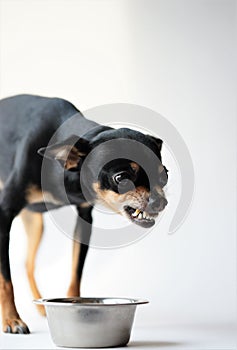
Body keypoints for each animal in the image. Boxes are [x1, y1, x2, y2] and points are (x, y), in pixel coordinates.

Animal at [0, 94, 168, 334]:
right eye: (121, 178)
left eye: (165, 177)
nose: (160, 201)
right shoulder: (4, 213)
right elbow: (6, 280)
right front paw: (12, 320)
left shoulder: (84, 219)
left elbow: (75, 273)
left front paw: (77, 309)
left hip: (35, 224)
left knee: (27, 263)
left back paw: (40, 305)